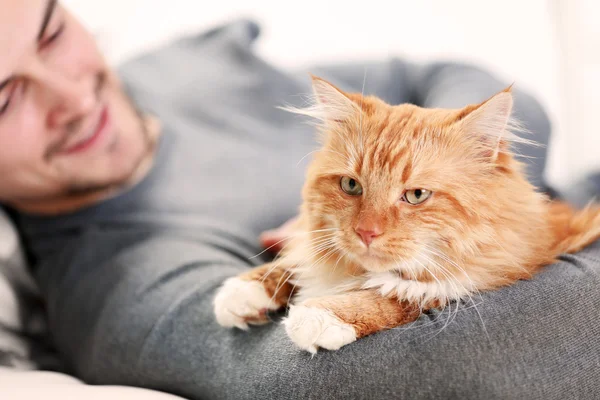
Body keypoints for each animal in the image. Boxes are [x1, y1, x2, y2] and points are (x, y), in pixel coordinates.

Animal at [212, 76, 600, 354]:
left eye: (416, 195)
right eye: (351, 185)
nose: (366, 232)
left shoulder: (486, 277)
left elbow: (397, 294)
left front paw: (320, 315)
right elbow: (293, 262)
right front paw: (244, 291)